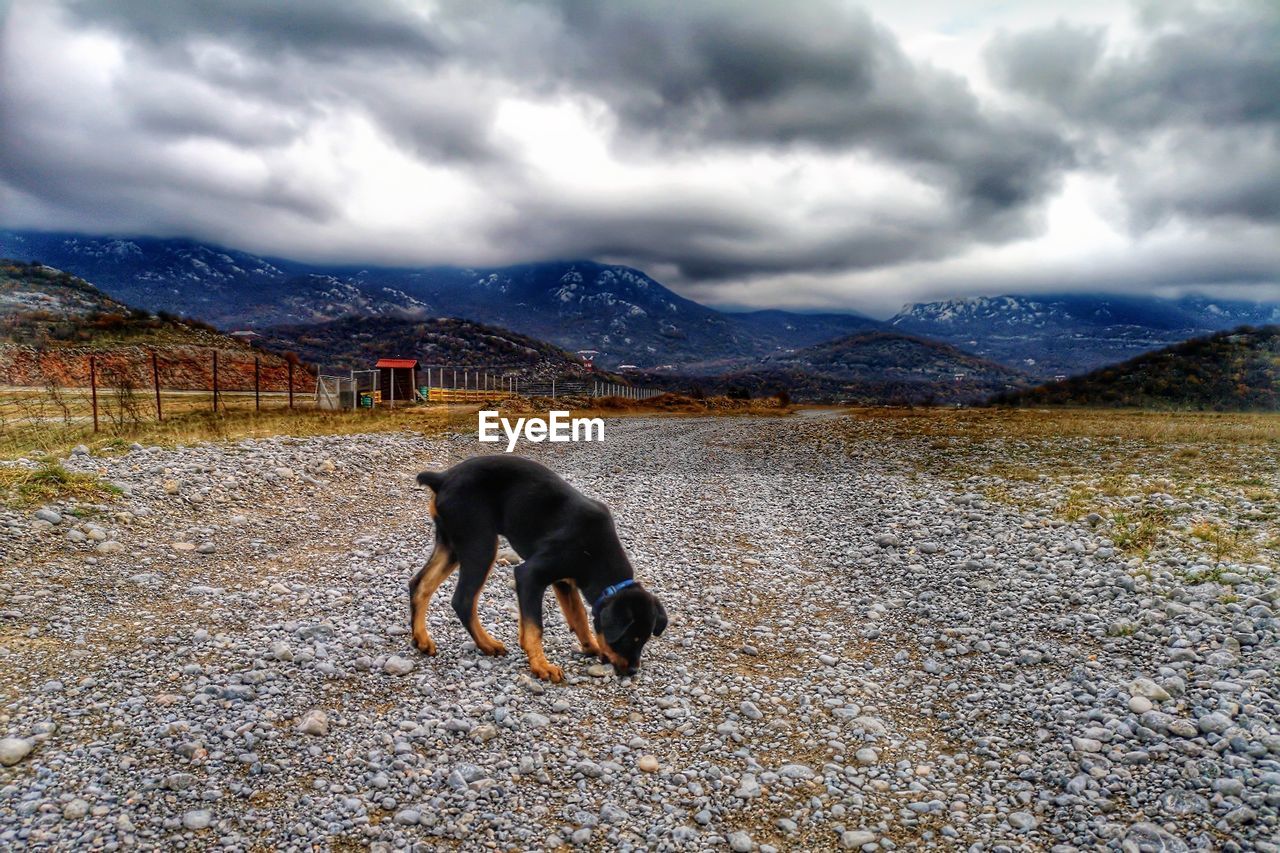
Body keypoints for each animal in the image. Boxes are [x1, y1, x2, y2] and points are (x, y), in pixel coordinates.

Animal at [409, 455, 670, 681]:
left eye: (645, 639)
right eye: (630, 638)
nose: (633, 671)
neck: (596, 553)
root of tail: (442, 478)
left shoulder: (563, 582)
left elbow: (578, 616)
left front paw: (592, 647)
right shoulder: (530, 575)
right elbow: (536, 626)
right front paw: (541, 666)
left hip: (451, 545)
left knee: (420, 584)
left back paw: (422, 640)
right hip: (480, 545)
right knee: (462, 599)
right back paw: (487, 644)